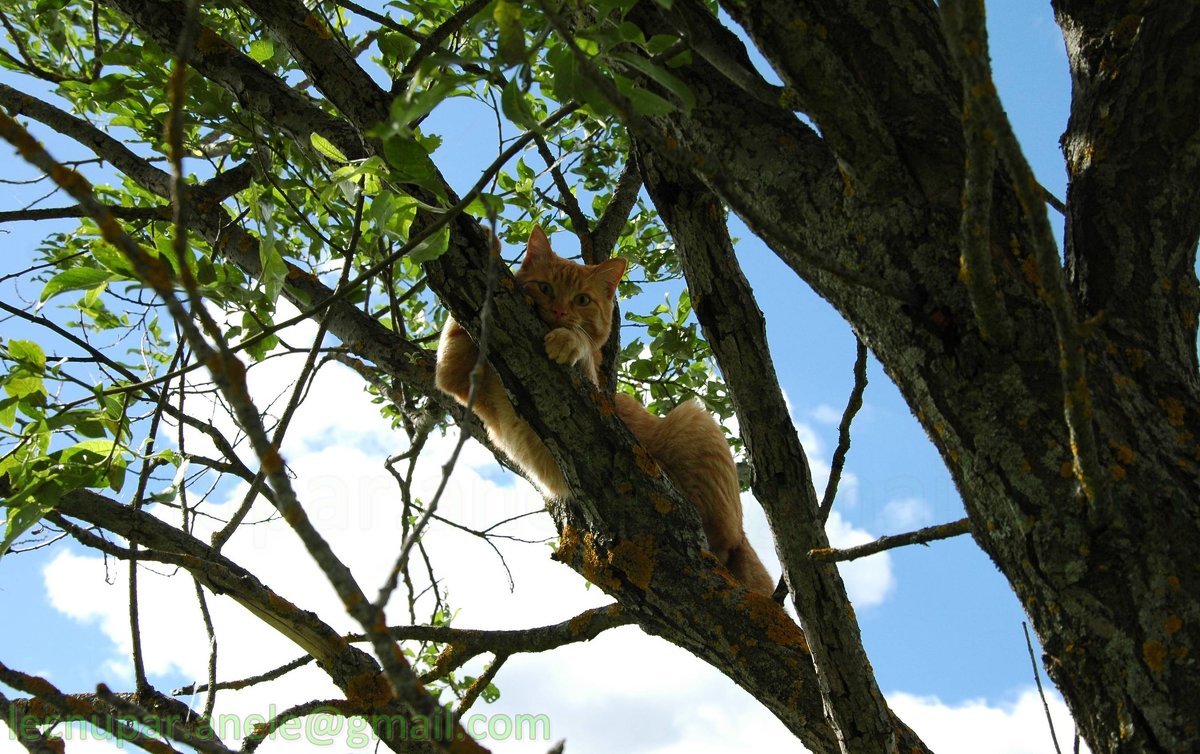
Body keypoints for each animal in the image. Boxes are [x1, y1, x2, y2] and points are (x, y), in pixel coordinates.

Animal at [436, 225, 772, 595]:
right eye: (545, 287)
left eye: (582, 300)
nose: (558, 314)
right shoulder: (454, 375)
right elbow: (454, 330)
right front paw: (487, 239)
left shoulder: (593, 394)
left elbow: (582, 346)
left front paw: (569, 339)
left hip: (693, 418)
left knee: (719, 541)